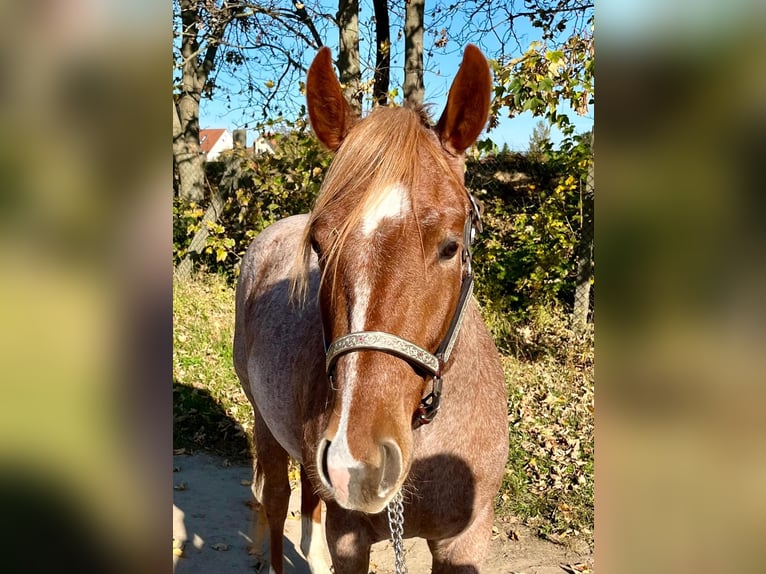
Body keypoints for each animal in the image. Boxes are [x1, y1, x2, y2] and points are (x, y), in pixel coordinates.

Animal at [234, 46, 510, 574]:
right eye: (320, 247)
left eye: (450, 247)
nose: (356, 462)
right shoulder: (351, 538)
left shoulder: (466, 542)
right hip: (264, 420)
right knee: (276, 499)